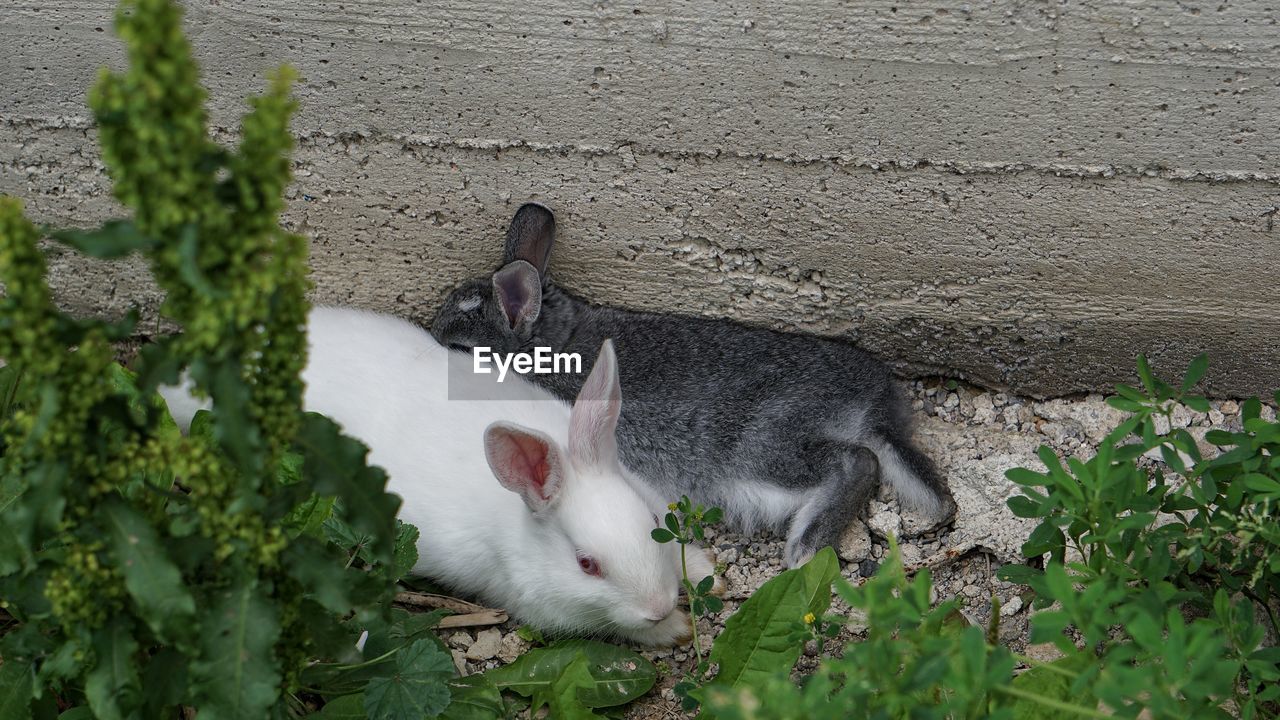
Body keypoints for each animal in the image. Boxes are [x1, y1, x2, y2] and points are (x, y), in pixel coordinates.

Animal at [430, 202, 952, 566]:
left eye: (458, 350)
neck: (547, 348)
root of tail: (875, 405)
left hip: (759, 447)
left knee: (857, 462)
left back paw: (804, 545)